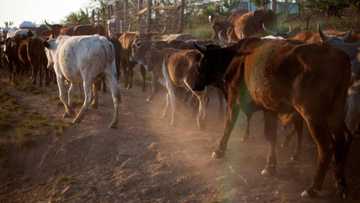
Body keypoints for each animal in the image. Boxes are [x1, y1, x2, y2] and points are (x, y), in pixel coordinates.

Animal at [191, 38, 352, 198]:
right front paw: (270, 166)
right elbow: (271, 136)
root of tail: (339, 55)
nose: (194, 86)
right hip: (335, 114)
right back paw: (340, 183)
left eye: (201, 65)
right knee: (342, 139)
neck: (235, 58)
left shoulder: (234, 98)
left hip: (313, 116)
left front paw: (219, 150)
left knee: (326, 147)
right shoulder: (269, 109)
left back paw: (313, 188)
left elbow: (229, 125)